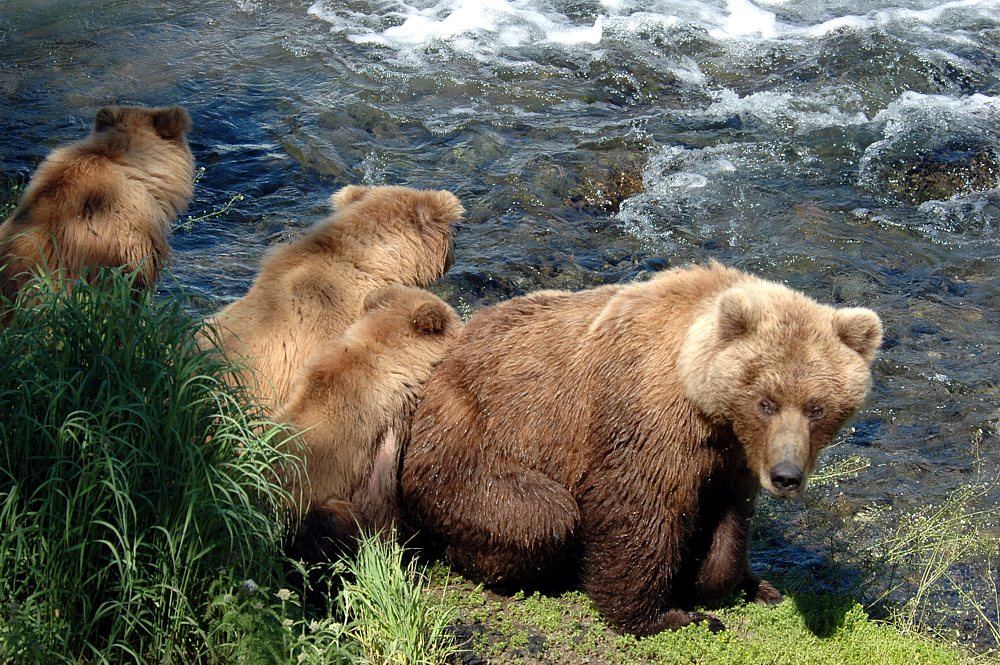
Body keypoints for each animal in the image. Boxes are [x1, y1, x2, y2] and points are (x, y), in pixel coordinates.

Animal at [398, 262, 884, 636]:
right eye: (766, 401)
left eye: (817, 407)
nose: (786, 476)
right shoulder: (650, 418)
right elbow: (639, 509)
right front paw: (671, 615)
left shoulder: (732, 455)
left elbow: (729, 516)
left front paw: (721, 581)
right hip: (470, 437)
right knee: (538, 513)